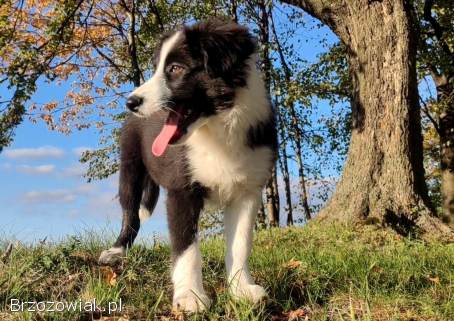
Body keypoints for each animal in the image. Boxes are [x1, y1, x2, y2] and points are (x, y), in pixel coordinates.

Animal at [98, 18, 276, 312]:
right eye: (158, 67)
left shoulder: (247, 191)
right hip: (130, 167)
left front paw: (241, 290)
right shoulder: (182, 191)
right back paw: (117, 250)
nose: (131, 102)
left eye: (175, 68)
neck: (217, 130)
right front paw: (190, 296)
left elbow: (240, 244)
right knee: (130, 214)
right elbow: (186, 248)